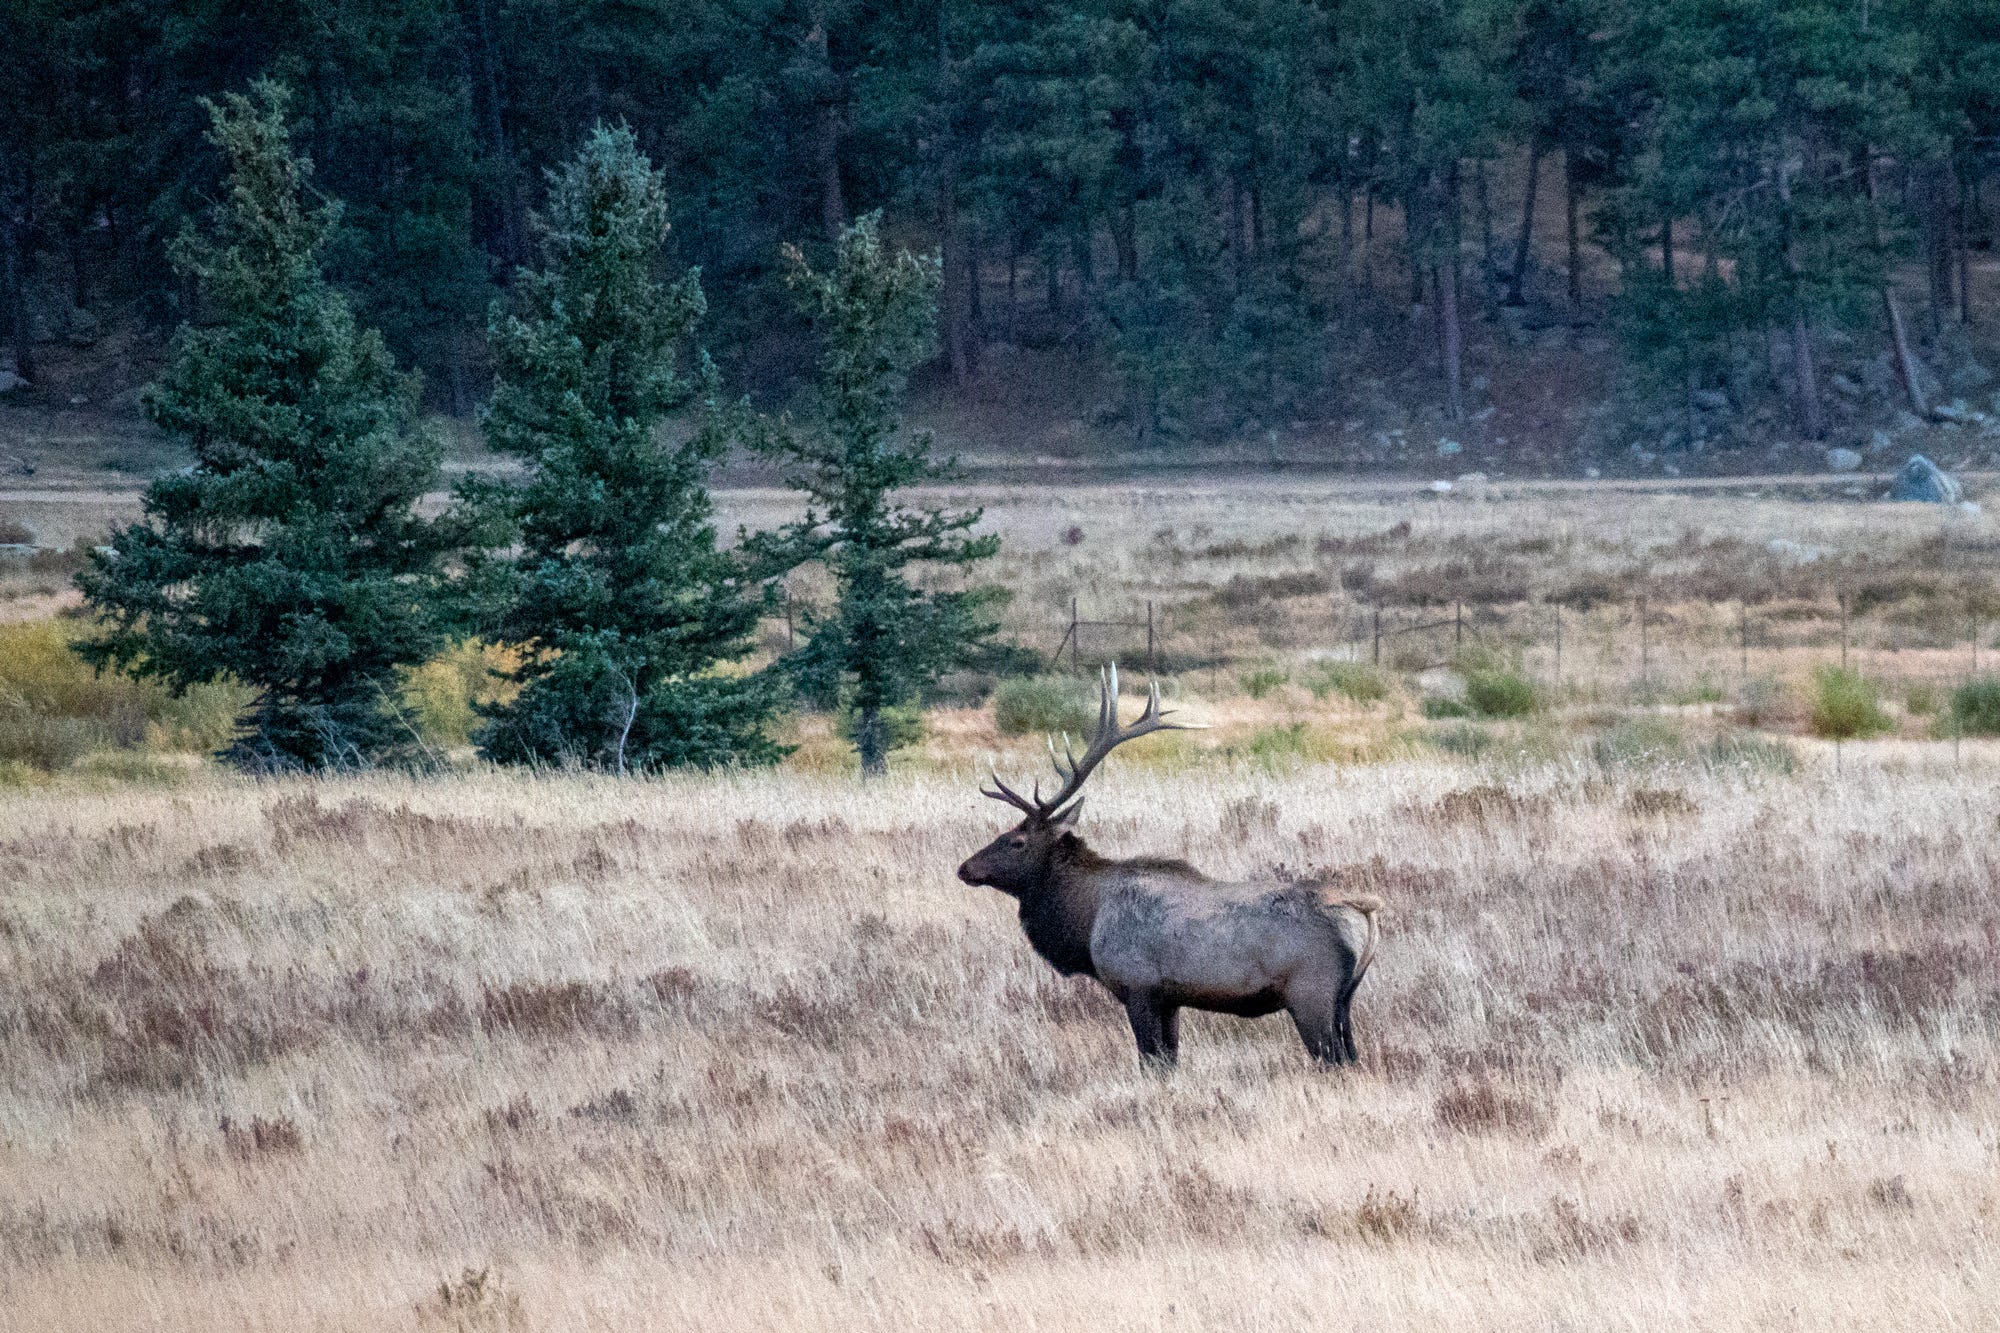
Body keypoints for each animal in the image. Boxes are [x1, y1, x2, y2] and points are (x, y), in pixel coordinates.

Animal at [958, 665, 1381, 1068]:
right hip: (1345, 1000)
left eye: (1017, 841)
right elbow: (1171, 1059)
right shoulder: (1170, 999)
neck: (1087, 919)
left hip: (1311, 993)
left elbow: (1151, 1061)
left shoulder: (1139, 986)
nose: (964, 868)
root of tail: (1363, 910)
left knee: (1332, 1060)